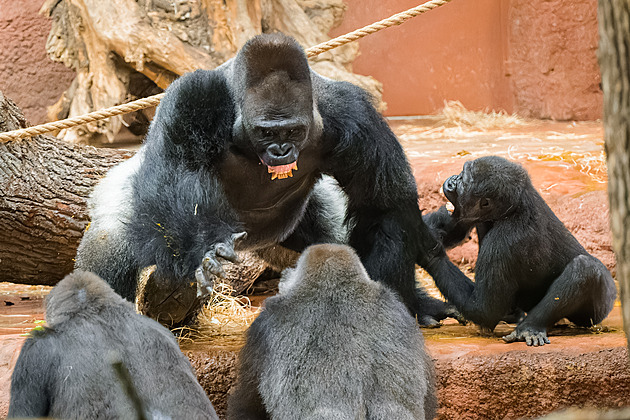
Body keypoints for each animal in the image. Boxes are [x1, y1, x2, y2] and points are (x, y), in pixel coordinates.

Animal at [75, 33, 470, 328]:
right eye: (266, 133)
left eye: (293, 131)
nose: (281, 151)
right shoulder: (193, 95)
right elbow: (175, 182)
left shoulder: (353, 114)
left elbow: (382, 207)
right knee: (113, 238)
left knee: (335, 236)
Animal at [422, 156, 620, 346]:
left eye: (463, 179)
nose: (452, 180)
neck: (512, 209)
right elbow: (451, 229)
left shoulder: (501, 242)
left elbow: (484, 310)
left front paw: (428, 249)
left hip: (601, 306)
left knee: (585, 269)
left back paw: (529, 327)